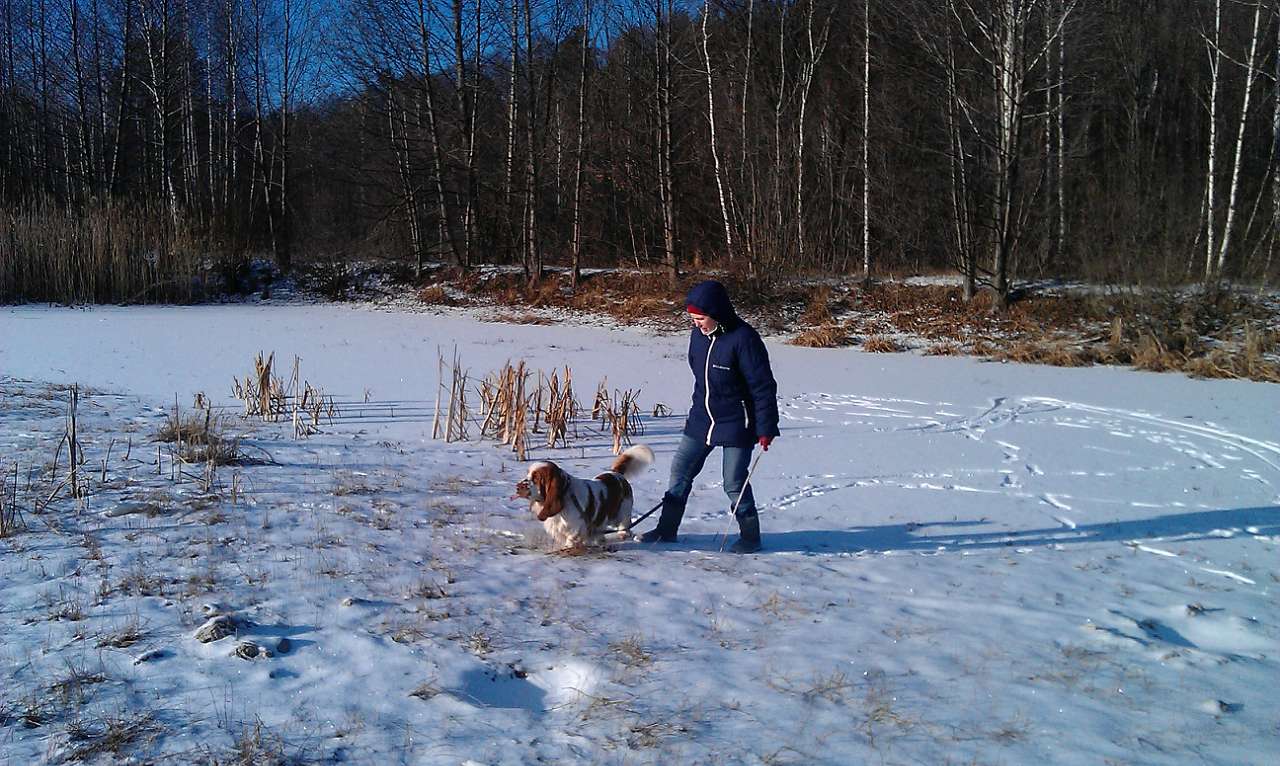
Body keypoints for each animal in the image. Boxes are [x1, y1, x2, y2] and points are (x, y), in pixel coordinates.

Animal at [512, 448, 655, 548]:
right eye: (528, 474)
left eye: (536, 478)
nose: (517, 486)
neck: (565, 494)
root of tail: (616, 473)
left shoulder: (574, 532)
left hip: (622, 515)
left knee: (625, 527)